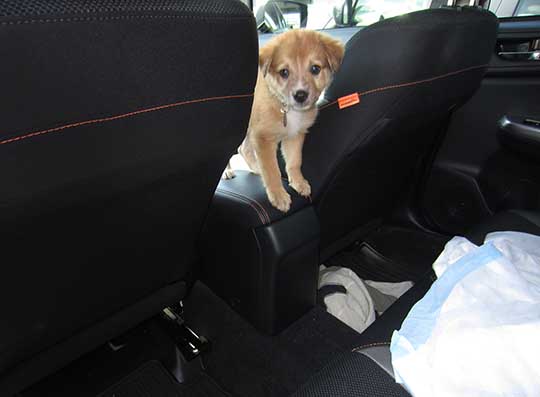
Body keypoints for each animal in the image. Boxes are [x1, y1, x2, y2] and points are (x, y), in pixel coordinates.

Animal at [225, 29, 344, 212]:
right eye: (284, 72)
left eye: (315, 69)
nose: (300, 95)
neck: (284, 106)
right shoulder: (263, 138)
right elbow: (272, 170)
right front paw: (278, 195)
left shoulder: (295, 135)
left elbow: (294, 161)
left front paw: (298, 182)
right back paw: (228, 171)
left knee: (243, 149)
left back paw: (256, 168)